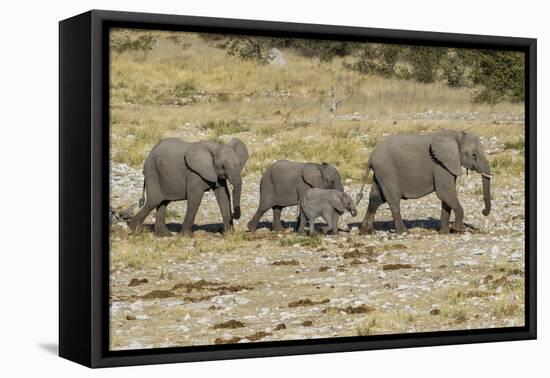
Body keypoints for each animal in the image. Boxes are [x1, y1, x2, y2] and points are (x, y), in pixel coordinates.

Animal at [360, 131, 494, 235]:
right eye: (473, 155)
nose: (483, 211)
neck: (455, 135)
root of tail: (371, 156)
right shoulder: (440, 165)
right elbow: (445, 193)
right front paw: (458, 230)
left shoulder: (448, 165)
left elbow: (447, 197)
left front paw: (444, 233)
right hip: (387, 171)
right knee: (393, 200)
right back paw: (404, 232)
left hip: (381, 173)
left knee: (375, 199)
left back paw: (366, 231)